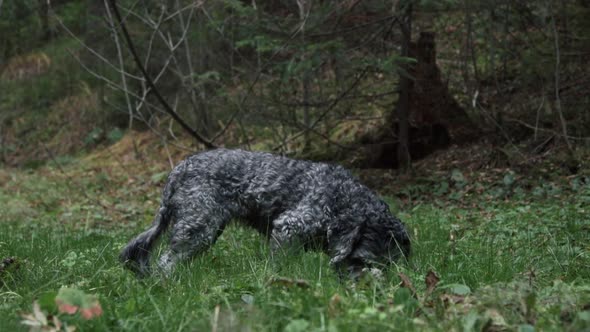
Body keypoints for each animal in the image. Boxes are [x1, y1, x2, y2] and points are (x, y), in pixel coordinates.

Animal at [121, 148, 412, 278]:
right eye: (366, 262)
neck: (342, 199)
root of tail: (178, 170)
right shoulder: (288, 227)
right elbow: (279, 264)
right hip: (198, 228)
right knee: (166, 262)